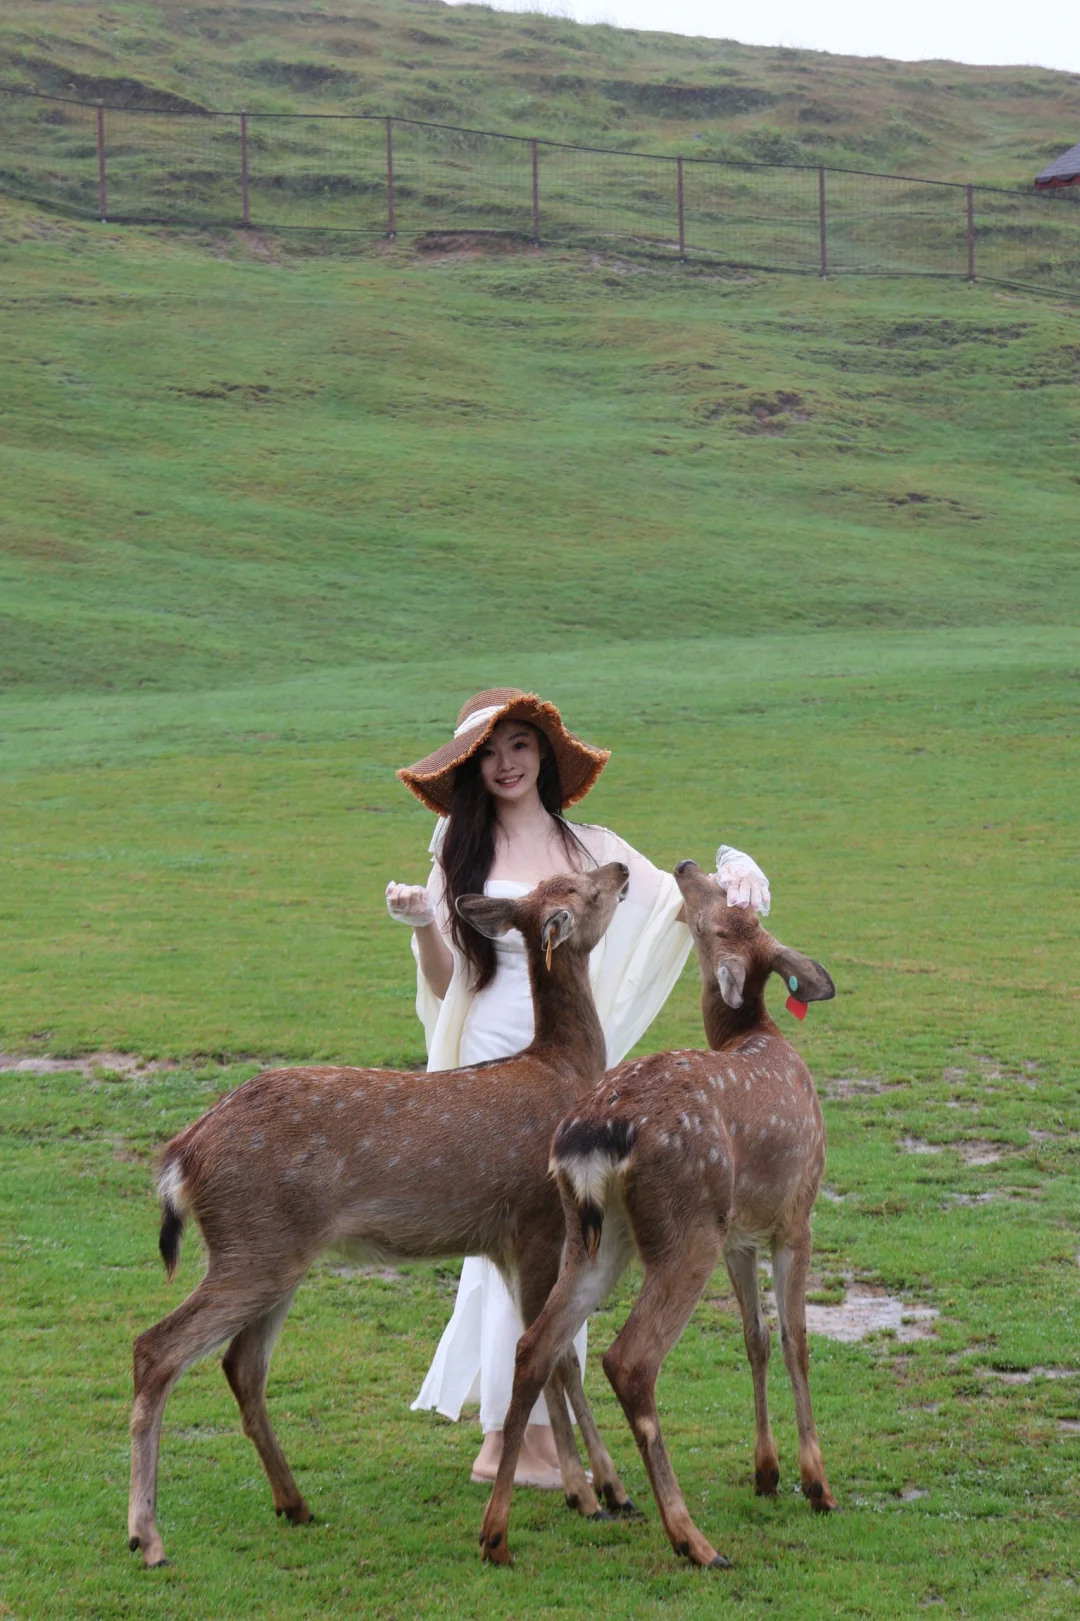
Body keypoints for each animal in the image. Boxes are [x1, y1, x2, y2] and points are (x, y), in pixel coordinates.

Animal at [128, 868, 638, 1562]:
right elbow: (554, 1358)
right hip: (256, 1244)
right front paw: (589, 1494)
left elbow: (557, 1359)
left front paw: (608, 1490)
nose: (622, 872)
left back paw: (294, 1504)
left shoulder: (505, 1243)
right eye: (585, 892)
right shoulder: (538, 1222)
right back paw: (146, 1535)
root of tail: (182, 1155)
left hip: (271, 1252)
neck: (561, 1068)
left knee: (241, 1364)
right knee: (157, 1348)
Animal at [476, 862, 836, 1569]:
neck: (762, 1038)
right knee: (630, 1360)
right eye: (724, 913)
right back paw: (691, 1538)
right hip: (684, 1228)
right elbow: (795, 1339)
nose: (689, 868)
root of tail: (593, 1135)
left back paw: (500, 1533)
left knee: (536, 1345)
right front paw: (815, 1483)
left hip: (594, 1236)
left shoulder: (740, 1236)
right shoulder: (796, 1214)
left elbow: (754, 1338)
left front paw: (767, 1473)